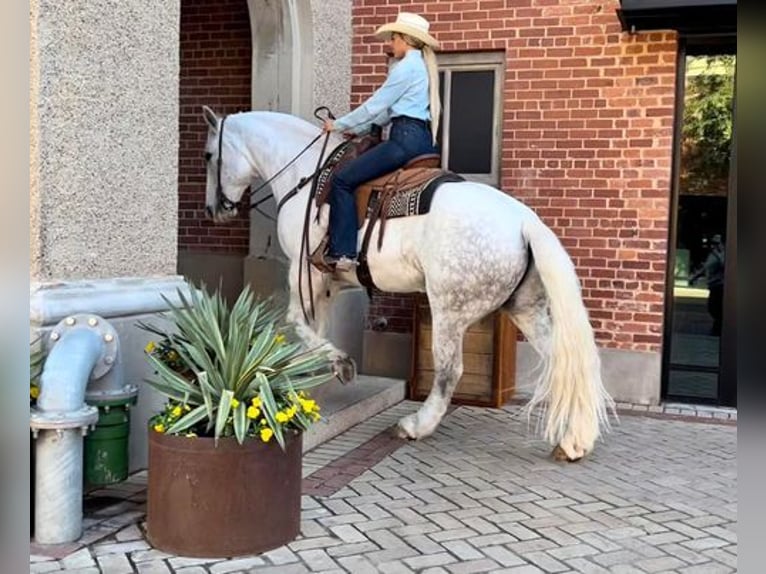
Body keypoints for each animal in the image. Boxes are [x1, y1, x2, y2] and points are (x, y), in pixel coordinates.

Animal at [201, 107, 616, 464]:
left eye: (207, 155)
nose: (213, 210)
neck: (304, 178)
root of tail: (523, 220)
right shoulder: (325, 281)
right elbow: (314, 326)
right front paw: (314, 376)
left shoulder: (305, 270)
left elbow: (297, 321)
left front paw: (338, 364)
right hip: (524, 308)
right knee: (562, 359)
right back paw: (574, 440)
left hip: (449, 310)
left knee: (450, 371)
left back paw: (415, 425)